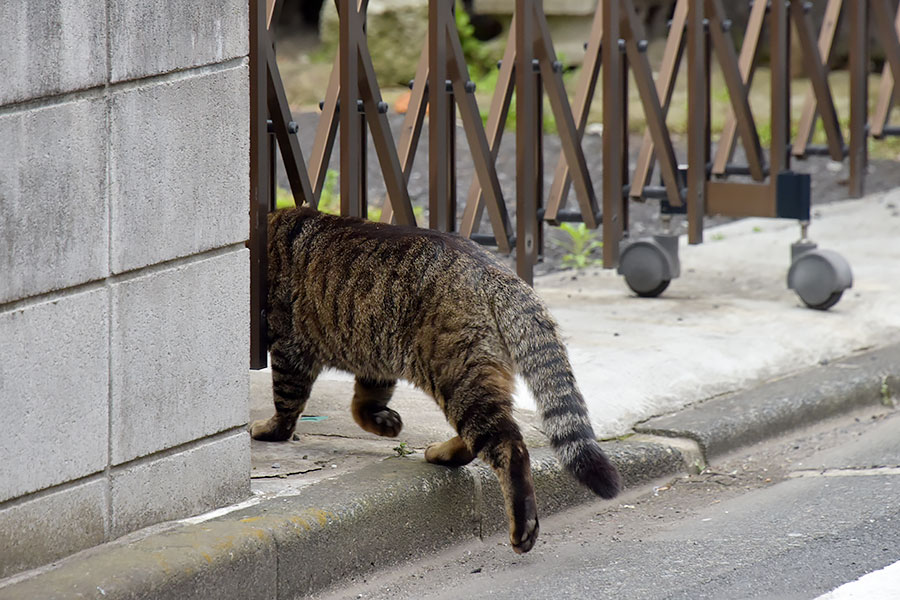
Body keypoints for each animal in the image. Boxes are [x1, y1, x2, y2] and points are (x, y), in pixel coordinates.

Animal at [250, 207, 624, 552]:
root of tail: (498, 272)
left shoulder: (289, 348)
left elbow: (287, 402)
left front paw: (270, 430)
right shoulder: (375, 360)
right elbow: (363, 401)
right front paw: (384, 422)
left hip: (457, 377)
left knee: (508, 445)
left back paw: (522, 527)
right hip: (476, 377)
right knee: (479, 439)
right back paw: (441, 452)